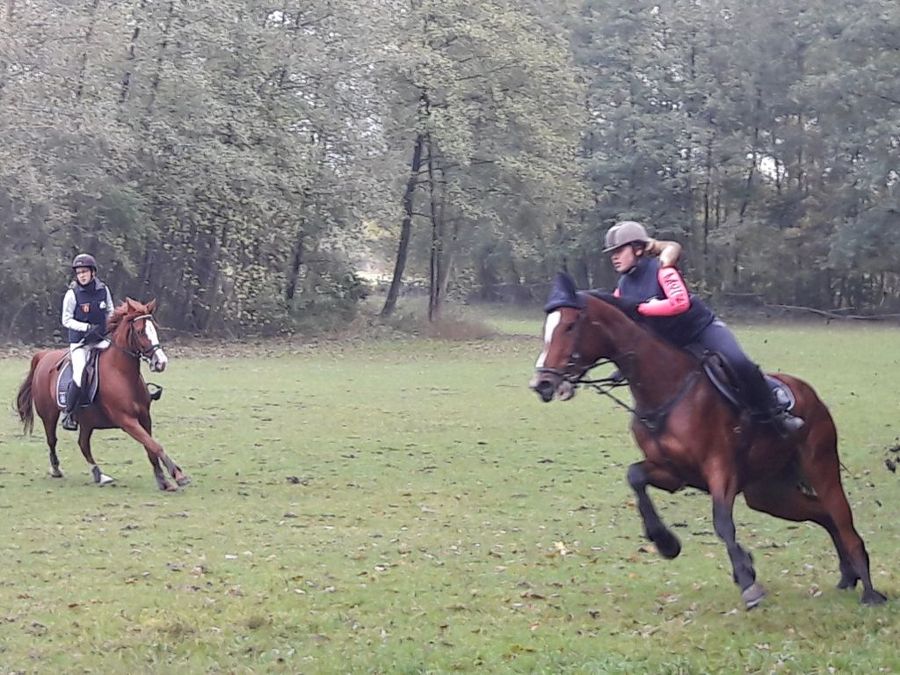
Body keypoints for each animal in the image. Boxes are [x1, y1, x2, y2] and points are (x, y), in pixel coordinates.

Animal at [16, 298, 190, 491]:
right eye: (140, 332)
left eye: (154, 329)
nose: (161, 362)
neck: (121, 373)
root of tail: (43, 356)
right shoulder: (127, 421)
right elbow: (154, 445)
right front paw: (178, 475)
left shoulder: (145, 418)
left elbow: (150, 447)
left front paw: (162, 480)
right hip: (49, 415)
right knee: (52, 440)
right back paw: (56, 469)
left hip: (86, 422)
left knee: (83, 444)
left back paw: (99, 475)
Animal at [529, 273, 886, 609]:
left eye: (571, 325)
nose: (541, 383)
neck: (667, 387)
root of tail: (808, 393)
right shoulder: (673, 472)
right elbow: (636, 477)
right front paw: (666, 543)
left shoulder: (720, 468)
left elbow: (722, 522)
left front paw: (747, 579)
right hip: (768, 493)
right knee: (823, 514)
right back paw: (847, 575)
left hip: (821, 466)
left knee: (842, 519)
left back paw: (869, 590)